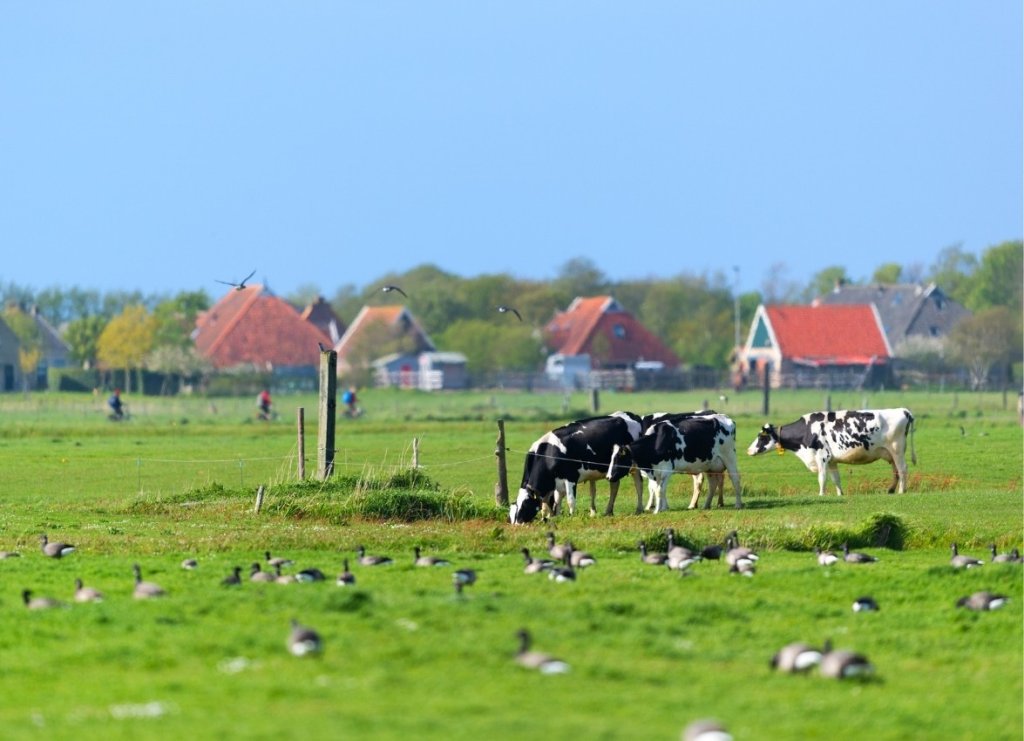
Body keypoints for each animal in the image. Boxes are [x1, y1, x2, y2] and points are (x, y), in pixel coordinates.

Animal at [508, 411, 645, 524]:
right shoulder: (555, 483)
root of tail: (632, 415)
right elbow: (552, 502)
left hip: (634, 466)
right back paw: (608, 511)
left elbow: (570, 500)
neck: (548, 453)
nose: (517, 525)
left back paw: (639, 510)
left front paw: (571, 517)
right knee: (614, 486)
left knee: (638, 484)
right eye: (512, 513)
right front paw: (551, 517)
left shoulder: (570, 477)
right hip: (613, 470)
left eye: (525, 506)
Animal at [605, 414, 743, 512]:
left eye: (619, 459)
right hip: (710, 465)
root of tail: (726, 418)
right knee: (713, 484)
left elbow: (660, 490)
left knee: (735, 479)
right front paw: (663, 508)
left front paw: (657, 510)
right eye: (611, 458)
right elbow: (657, 489)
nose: (608, 477)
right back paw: (706, 505)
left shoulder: (666, 470)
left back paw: (738, 504)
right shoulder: (655, 472)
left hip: (729, 457)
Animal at [746, 408, 916, 496]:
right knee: (895, 470)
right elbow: (836, 479)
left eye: (762, 437)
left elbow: (822, 478)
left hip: (897, 449)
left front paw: (821, 495)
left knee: (902, 469)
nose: (748, 450)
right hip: (890, 453)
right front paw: (840, 494)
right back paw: (891, 490)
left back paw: (902, 491)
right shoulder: (832, 460)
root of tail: (903, 410)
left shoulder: (822, 456)